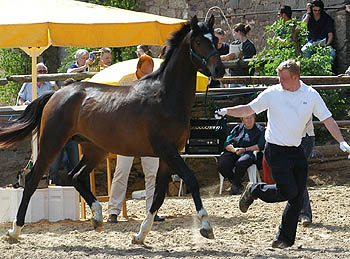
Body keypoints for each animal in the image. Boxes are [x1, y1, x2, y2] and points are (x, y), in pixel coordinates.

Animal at [0, 15, 224, 244]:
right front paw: (206, 227)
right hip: (52, 143)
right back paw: (15, 230)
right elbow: (191, 180)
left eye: (215, 40)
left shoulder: (167, 155)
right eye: (198, 41)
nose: (219, 70)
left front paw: (140, 235)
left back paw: (97, 218)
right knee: (32, 181)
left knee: (75, 176)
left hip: (94, 149)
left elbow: (158, 195)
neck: (165, 97)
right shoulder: (167, 150)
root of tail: (57, 93)